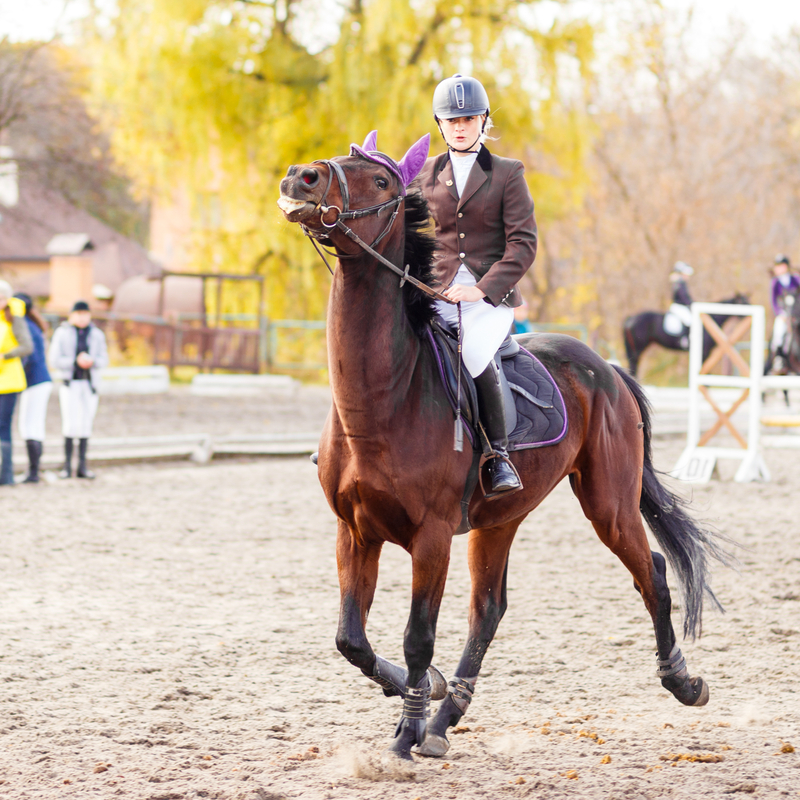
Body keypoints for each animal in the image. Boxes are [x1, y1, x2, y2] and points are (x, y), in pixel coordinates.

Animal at [276, 144, 732, 764]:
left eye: (381, 180)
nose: (301, 178)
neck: (385, 397)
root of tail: (607, 369)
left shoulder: (432, 536)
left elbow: (418, 637)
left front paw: (404, 734)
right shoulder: (355, 530)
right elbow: (351, 639)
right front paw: (424, 697)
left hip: (608, 505)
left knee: (653, 575)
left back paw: (683, 681)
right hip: (500, 518)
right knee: (489, 610)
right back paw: (445, 719)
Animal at [624, 294, 752, 378]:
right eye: (743, 302)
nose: (750, 315)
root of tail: (631, 318)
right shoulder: (704, 353)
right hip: (638, 348)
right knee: (634, 365)